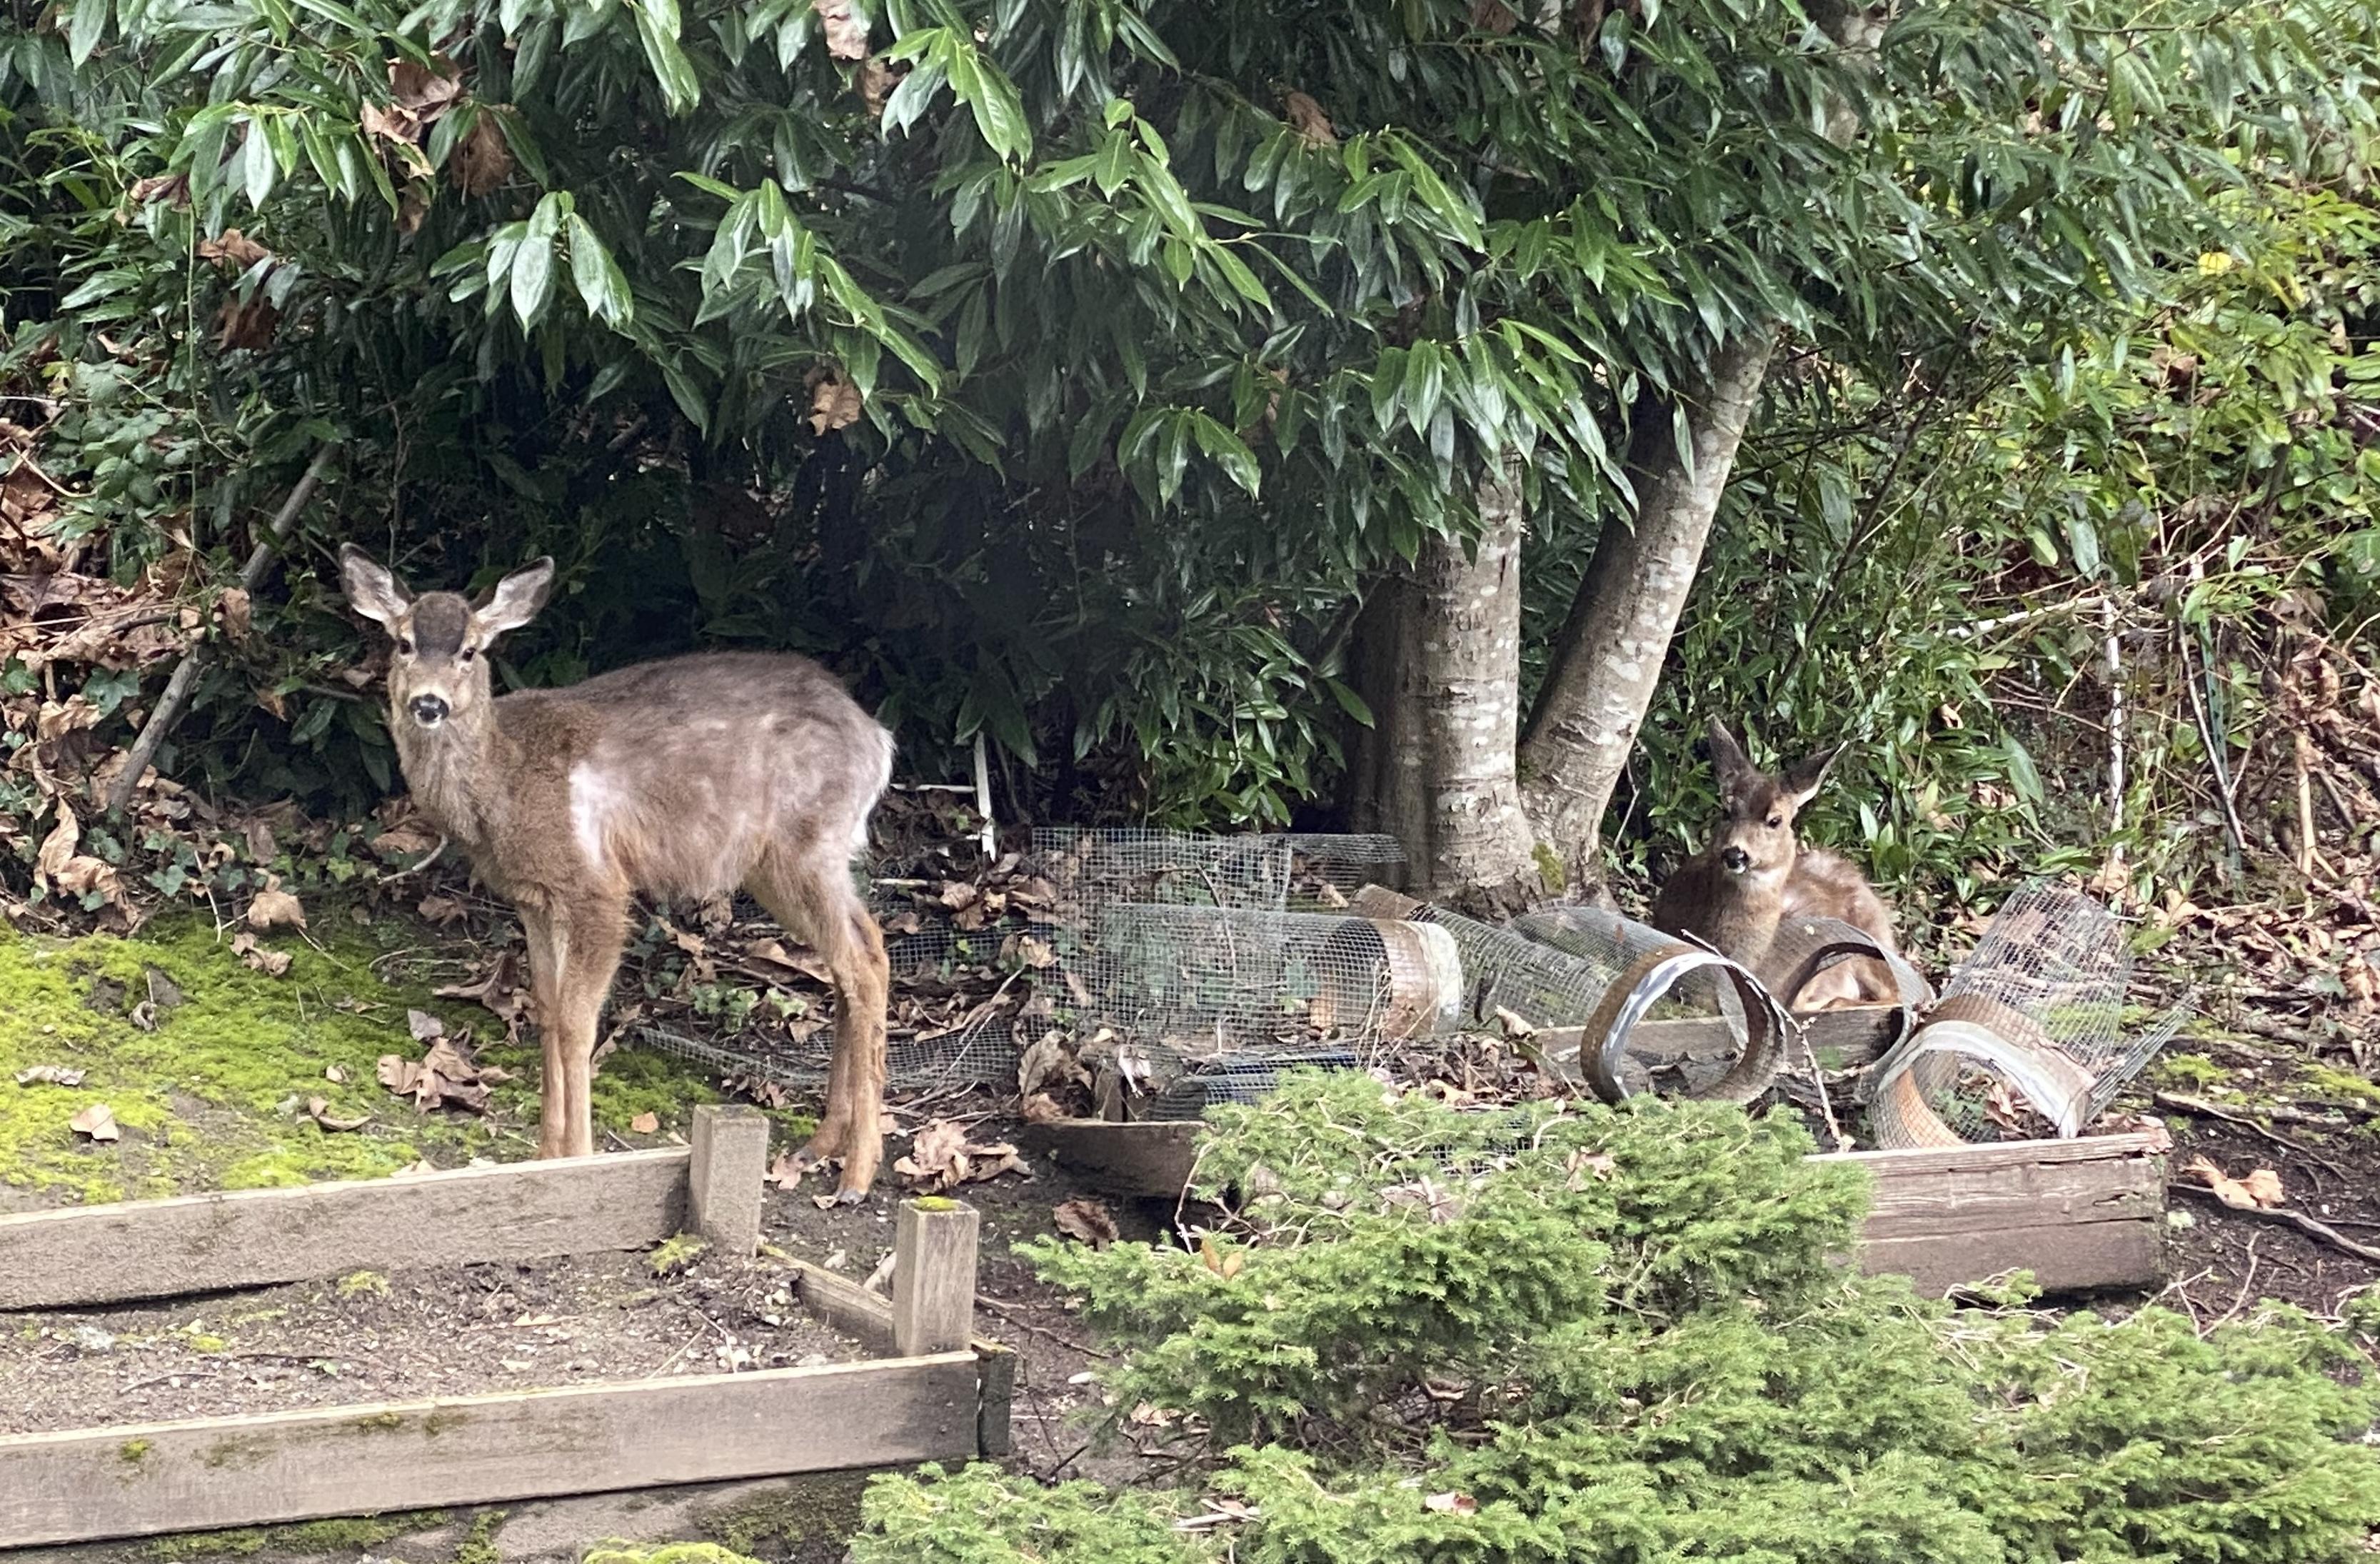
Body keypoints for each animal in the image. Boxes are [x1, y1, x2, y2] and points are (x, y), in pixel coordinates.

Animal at [338, 546, 894, 1203]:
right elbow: (547, 1012)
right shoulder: (534, 896)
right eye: (402, 643)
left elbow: (578, 1020)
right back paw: (821, 1144)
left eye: (470, 650)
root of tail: (878, 740)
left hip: (807, 845)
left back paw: (857, 1174)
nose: (429, 703)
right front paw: (545, 1154)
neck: (503, 783)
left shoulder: (598, 887)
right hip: (782, 863)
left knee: (864, 962)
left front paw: (576, 1158)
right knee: (854, 955)